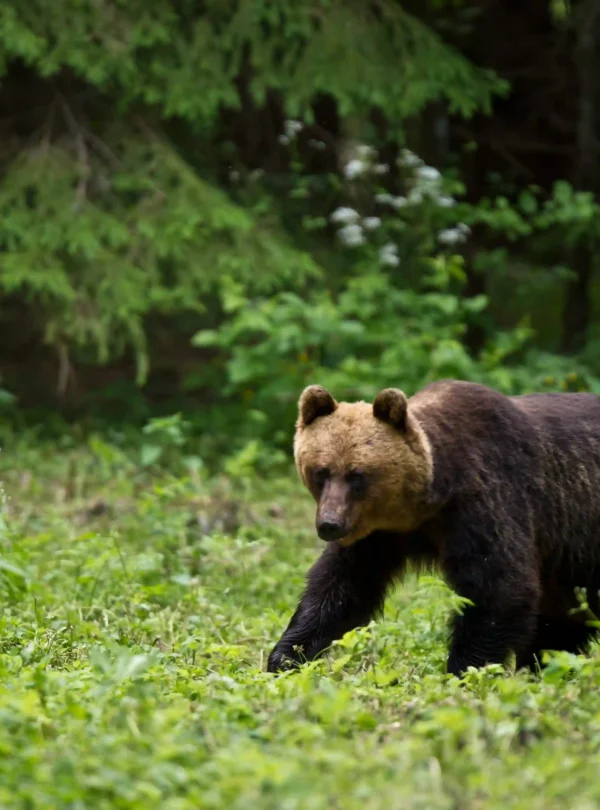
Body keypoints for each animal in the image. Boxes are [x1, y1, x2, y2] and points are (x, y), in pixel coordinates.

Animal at [267, 379, 600, 676]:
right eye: (321, 472)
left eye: (357, 475)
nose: (329, 525)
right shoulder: (378, 535)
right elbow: (341, 589)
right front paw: (286, 657)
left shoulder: (486, 504)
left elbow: (500, 589)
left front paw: (463, 670)